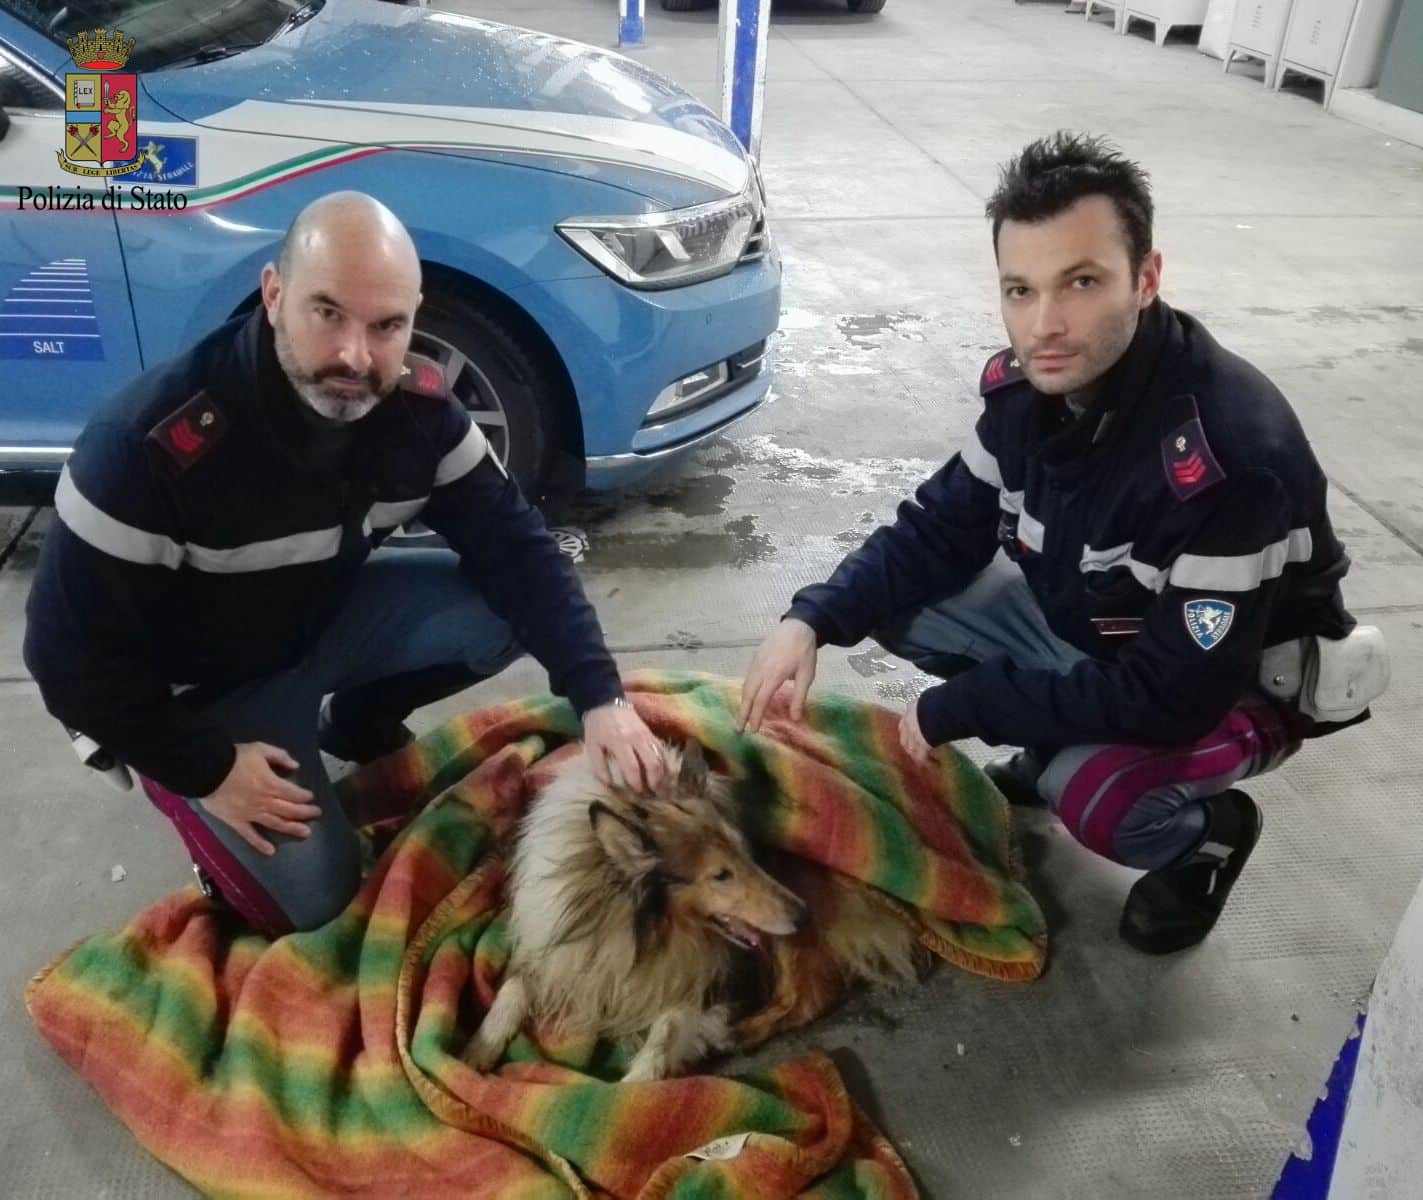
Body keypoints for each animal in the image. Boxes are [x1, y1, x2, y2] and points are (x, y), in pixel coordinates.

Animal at [461, 734, 916, 1081]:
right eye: (721, 875)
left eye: (746, 852)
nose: (804, 916)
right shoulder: (552, 943)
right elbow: (513, 987)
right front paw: (477, 1048)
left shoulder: (715, 973)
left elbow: (669, 1027)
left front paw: (634, 1086)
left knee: (810, 996)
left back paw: (735, 1034)